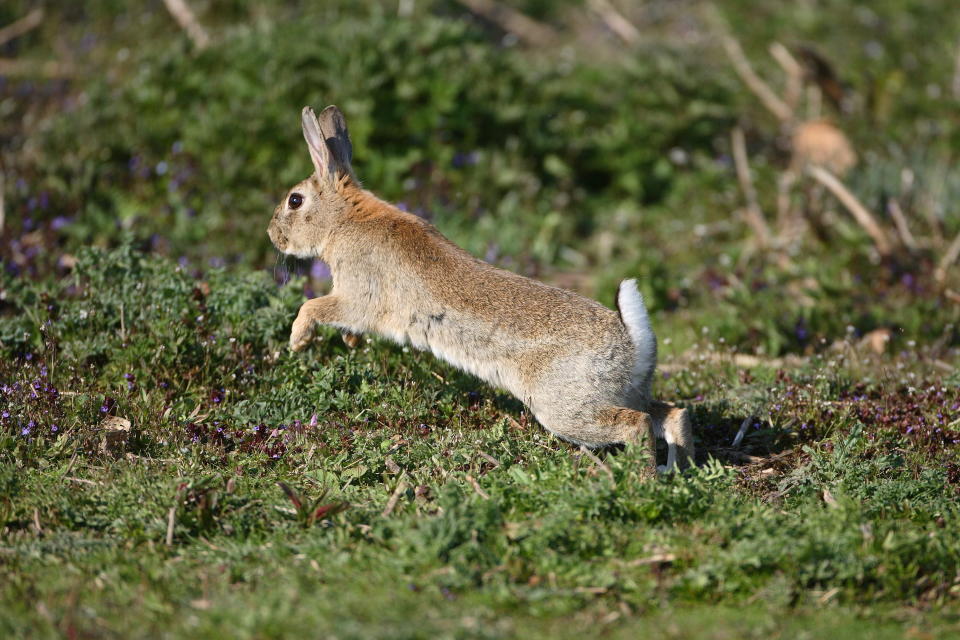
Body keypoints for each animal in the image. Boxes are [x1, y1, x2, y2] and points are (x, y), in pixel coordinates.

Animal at [266, 107, 692, 472]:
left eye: (294, 200)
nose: (272, 235)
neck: (345, 218)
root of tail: (632, 341)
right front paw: (347, 343)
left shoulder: (357, 296)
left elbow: (315, 307)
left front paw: (297, 340)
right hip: (624, 391)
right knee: (672, 414)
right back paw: (676, 470)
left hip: (566, 406)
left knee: (636, 424)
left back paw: (640, 478)